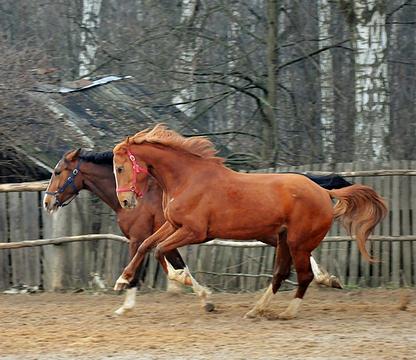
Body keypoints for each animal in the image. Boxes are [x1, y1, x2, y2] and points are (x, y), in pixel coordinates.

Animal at [111, 125, 386, 320]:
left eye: (120, 168)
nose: (125, 201)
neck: (187, 179)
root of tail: (324, 192)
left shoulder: (194, 231)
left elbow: (160, 250)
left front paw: (185, 281)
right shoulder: (173, 225)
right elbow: (146, 245)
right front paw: (122, 280)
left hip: (298, 243)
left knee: (304, 275)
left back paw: (287, 312)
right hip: (284, 240)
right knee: (280, 273)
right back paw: (256, 310)